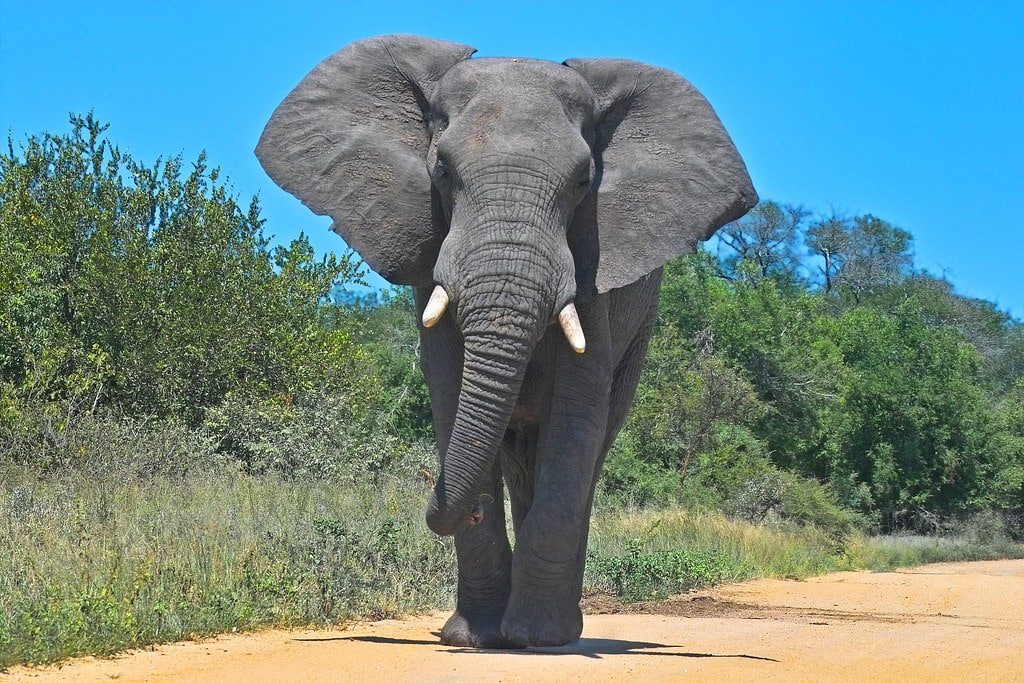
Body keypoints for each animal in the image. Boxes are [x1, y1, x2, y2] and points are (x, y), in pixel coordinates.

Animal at [256, 34, 756, 648]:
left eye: (584, 181)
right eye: (442, 170)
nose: (461, 504)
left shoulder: (595, 267)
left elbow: (577, 413)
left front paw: (537, 638)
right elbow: (449, 392)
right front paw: (472, 638)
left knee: (585, 454)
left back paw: (556, 630)